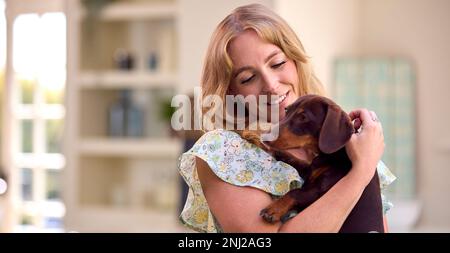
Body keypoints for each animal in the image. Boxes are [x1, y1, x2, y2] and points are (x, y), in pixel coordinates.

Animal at [243, 94, 384, 232]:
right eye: (286, 110)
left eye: (303, 117)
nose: (265, 137)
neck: (333, 155)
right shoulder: (309, 169)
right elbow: (286, 156)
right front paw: (255, 139)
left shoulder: (321, 191)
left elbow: (296, 192)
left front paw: (274, 209)